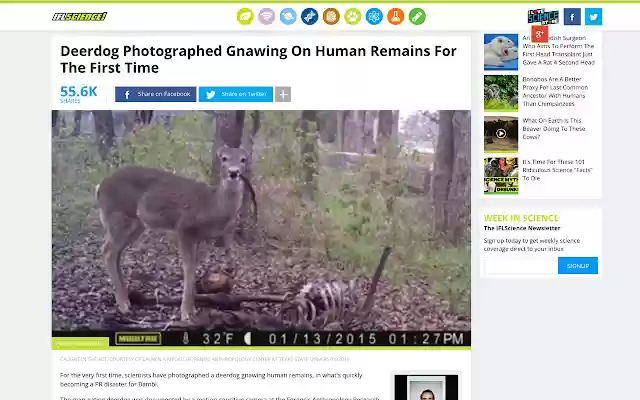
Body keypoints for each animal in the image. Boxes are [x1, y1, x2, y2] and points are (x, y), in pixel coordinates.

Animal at [96, 144, 255, 321]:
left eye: (243, 159)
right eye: (224, 158)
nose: (234, 172)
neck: (213, 205)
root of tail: (100, 187)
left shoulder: (201, 237)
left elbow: (195, 267)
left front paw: (192, 309)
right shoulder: (184, 228)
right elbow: (189, 268)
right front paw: (185, 313)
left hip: (136, 225)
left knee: (116, 252)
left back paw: (127, 299)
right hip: (119, 216)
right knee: (108, 250)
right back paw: (123, 305)